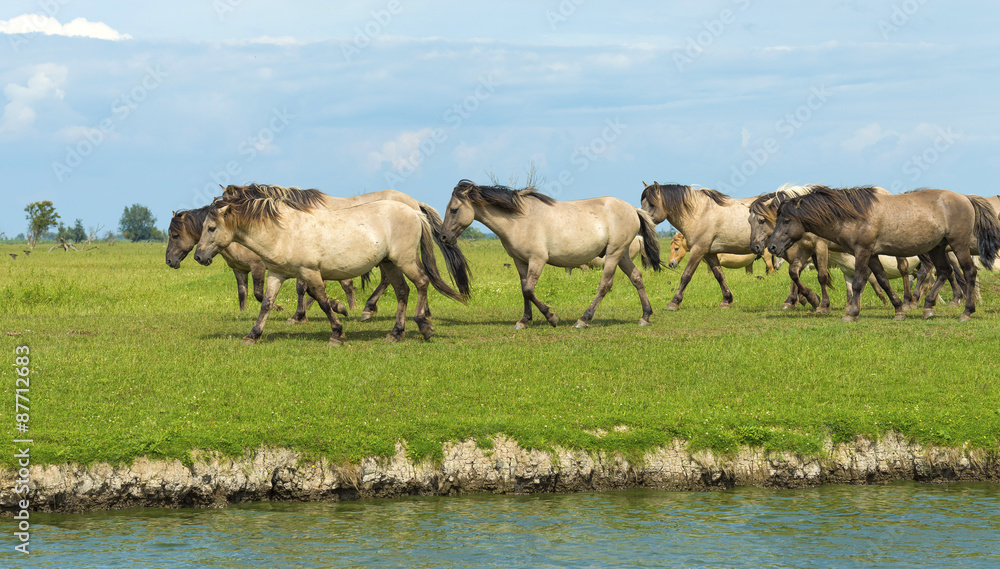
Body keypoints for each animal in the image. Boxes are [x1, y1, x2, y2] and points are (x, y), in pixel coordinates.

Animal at [194, 186, 468, 346]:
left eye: (212, 228)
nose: (198, 256)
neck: (284, 231)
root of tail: (414, 211)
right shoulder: (277, 274)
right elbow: (266, 304)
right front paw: (253, 335)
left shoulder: (310, 272)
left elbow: (323, 301)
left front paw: (337, 332)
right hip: (390, 263)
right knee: (402, 291)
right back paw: (395, 332)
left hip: (405, 260)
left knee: (421, 283)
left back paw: (423, 326)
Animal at [440, 178, 660, 328]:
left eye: (454, 209)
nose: (443, 237)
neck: (519, 219)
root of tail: (633, 209)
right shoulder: (520, 261)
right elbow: (524, 289)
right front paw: (524, 320)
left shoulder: (537, 260)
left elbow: (529, 290)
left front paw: (552, 317)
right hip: (622, 255)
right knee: (637, 278)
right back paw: (645, 316)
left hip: (614, 255)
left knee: (605, 285)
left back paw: (583, 319)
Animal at [768, 186, 996, 320]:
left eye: (786, 220)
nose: (772, 247)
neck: (854, 216)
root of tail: (965, 198)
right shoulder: (872, 254)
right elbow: (883, 281)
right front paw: (899, 309)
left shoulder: (862, 252)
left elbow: (858, 282)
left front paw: (851, 312)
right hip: (938, 248)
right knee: (944, 272)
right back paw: (928, 307)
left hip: (958, 245)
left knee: (969, 273)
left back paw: (966, 312)